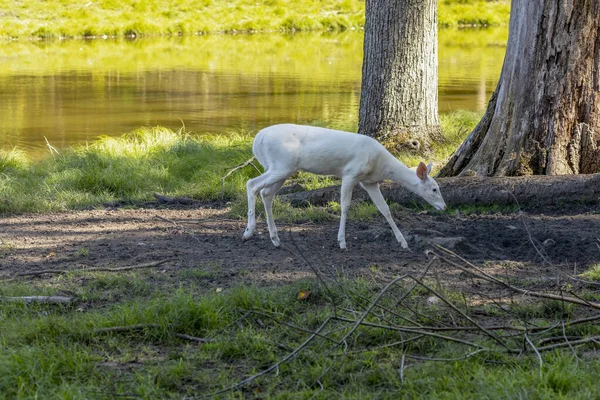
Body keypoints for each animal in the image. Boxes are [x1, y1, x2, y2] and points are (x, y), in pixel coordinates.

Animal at [243, 125, 446, 248]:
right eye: (434, 189)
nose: (444, 207)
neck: (380, 166)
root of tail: (257, 140)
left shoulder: (370, 182)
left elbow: (385, 209)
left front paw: (403, 241)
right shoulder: (350, 173)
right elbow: (345, 206)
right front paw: (342, 241)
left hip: (282, 168)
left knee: (266, 193)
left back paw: (275, 238)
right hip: (281, 165)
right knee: (251, 184)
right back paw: (249, 231)